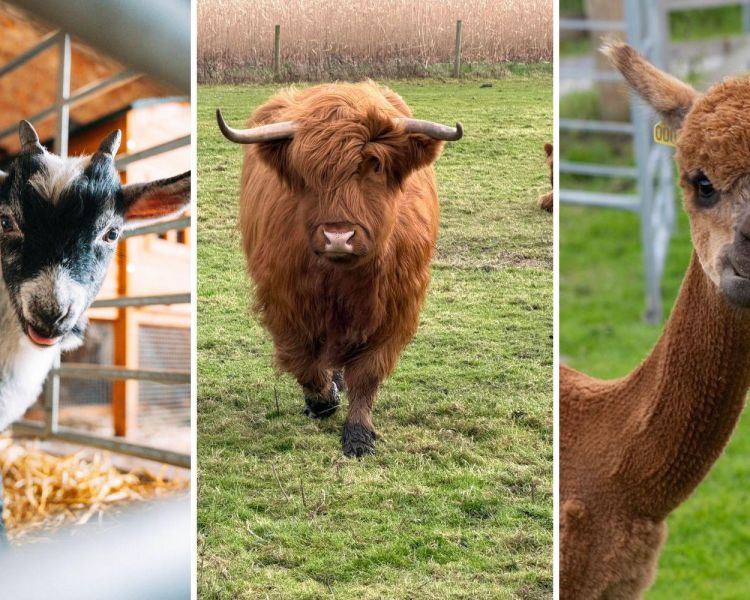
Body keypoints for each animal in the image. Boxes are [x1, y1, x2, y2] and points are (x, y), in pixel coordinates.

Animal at [216, 81, 463, 457]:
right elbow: (304, 360)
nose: (338, 237)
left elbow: (367, 373)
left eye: (374, 166)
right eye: (307, 171)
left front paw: (359, 435)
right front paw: (322, 400)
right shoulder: (285, 300)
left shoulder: (394, 307)